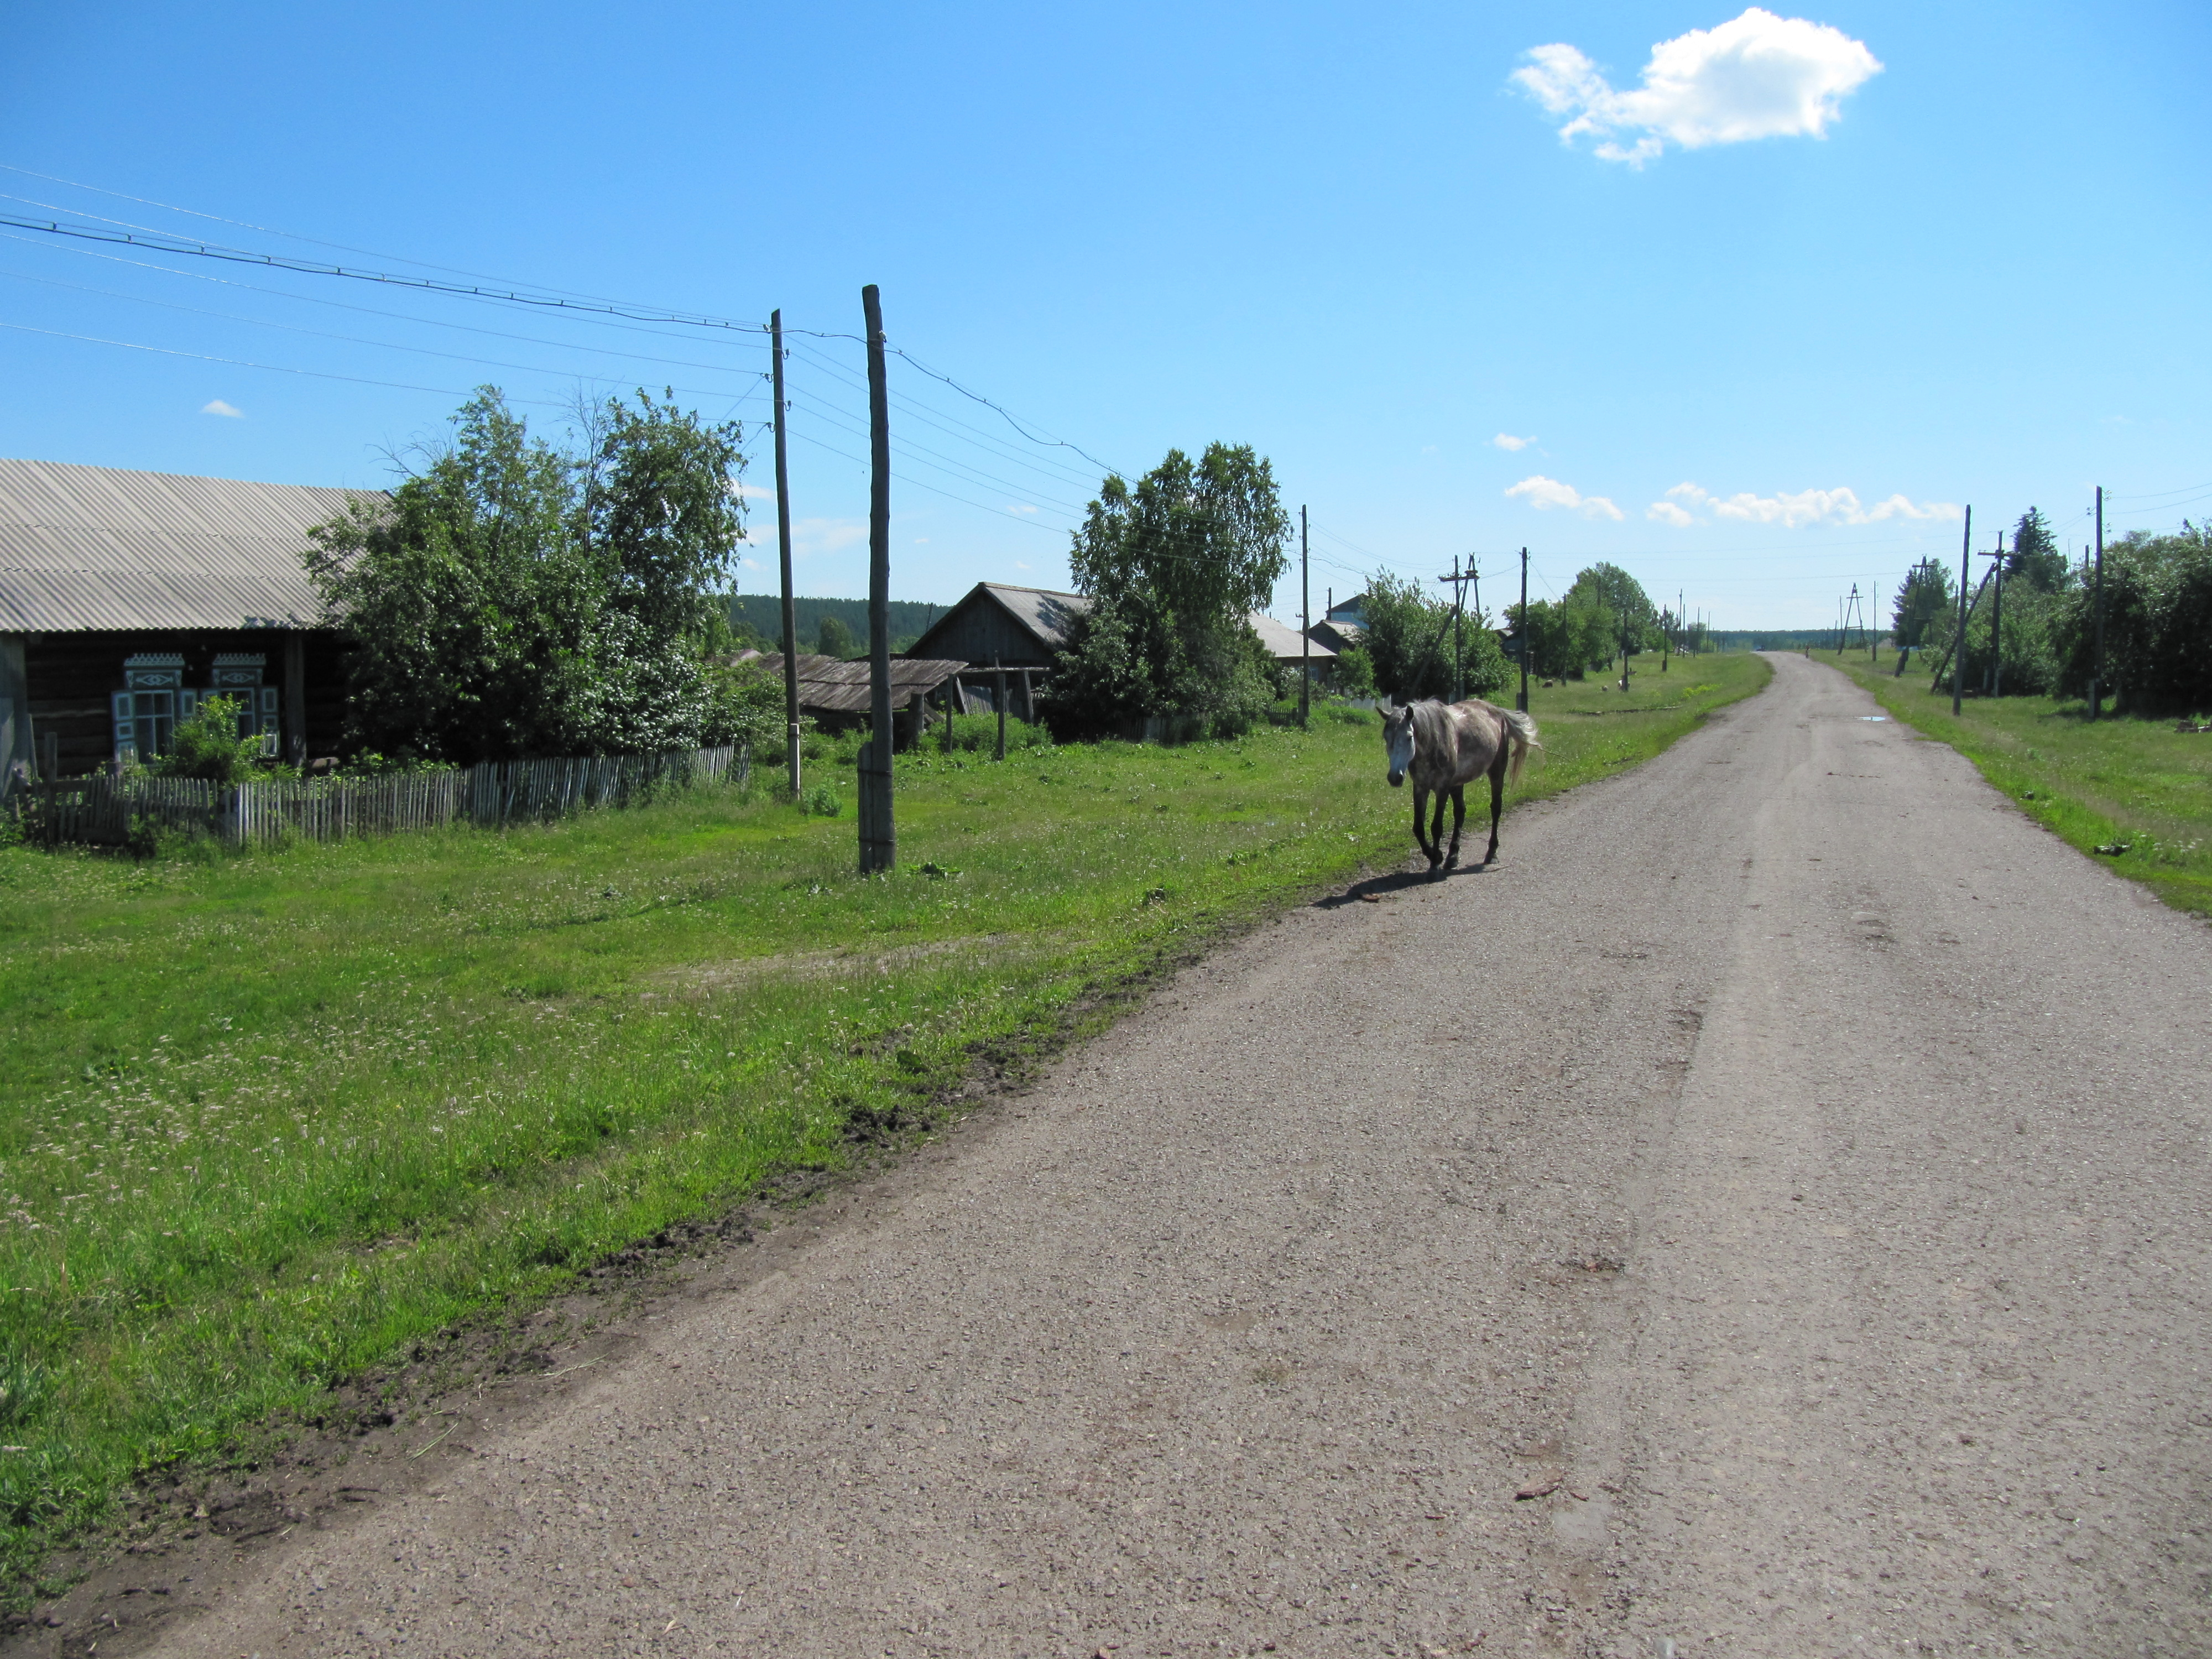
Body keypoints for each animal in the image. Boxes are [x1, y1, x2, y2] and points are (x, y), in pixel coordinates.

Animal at [1380, 699, 1540, 876]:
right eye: (1386, 737)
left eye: (1409, 737)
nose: (1395, 778)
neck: (1433, 742)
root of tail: (1499, 712)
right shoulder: (1421, 788)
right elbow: (1418, 828)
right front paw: (1437, 856)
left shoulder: (1442, 788)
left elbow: (1436, 827)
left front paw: (1435, 863)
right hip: (1457, 784)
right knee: (1460, 812)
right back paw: (1452, 857)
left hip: (1497, 772)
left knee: (1496, 809)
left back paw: (1491, 853)